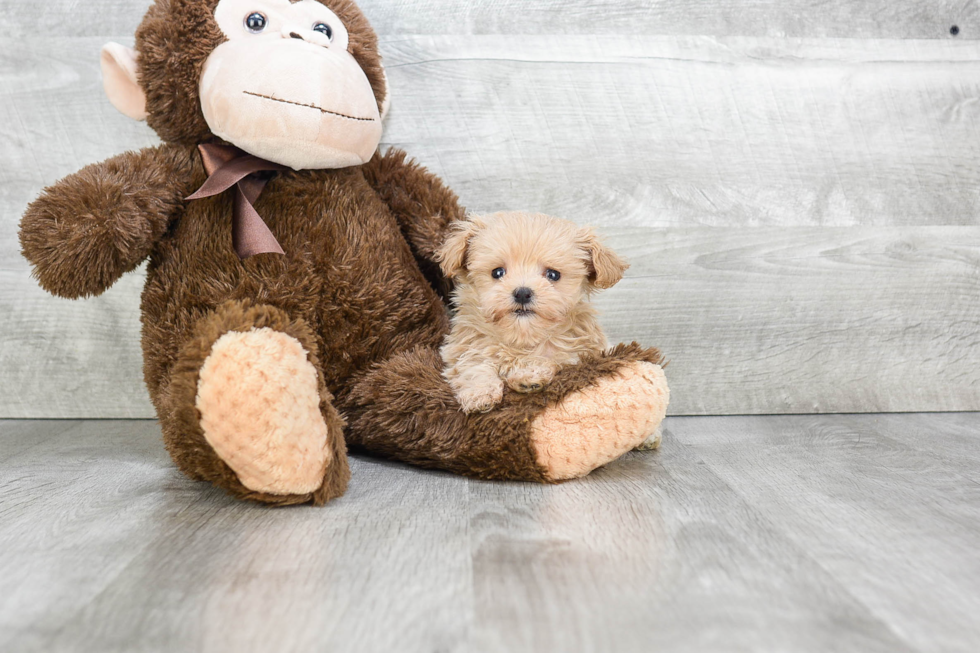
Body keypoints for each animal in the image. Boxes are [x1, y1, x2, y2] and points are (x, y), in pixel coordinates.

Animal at [436, 213, 628, 412]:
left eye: (553, 275)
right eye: (497, 272)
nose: (522, 293)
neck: (523, 336)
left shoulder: (579, 354)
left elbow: (553, 360)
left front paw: (528, 376)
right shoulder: (463, 346)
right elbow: (472, 365)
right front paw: (480, 393)